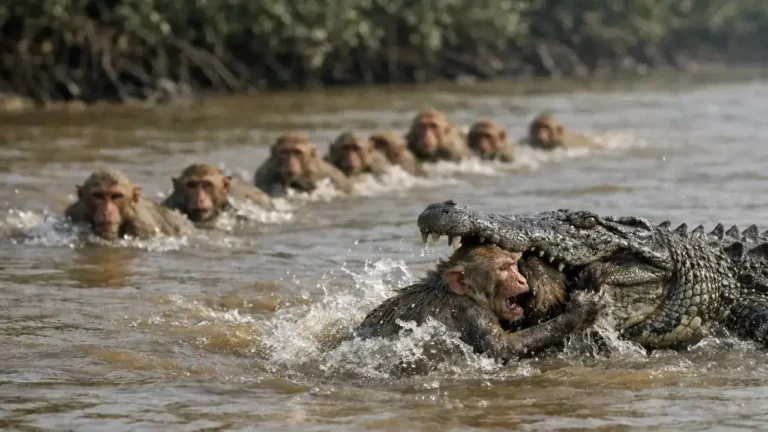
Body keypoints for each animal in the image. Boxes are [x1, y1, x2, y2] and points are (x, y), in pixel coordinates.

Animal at [355, 244, 599, 363]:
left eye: (513, 265)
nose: (521, 279)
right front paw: (581, 311)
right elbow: (503, 350)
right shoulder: (468, 312)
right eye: (503, 269)